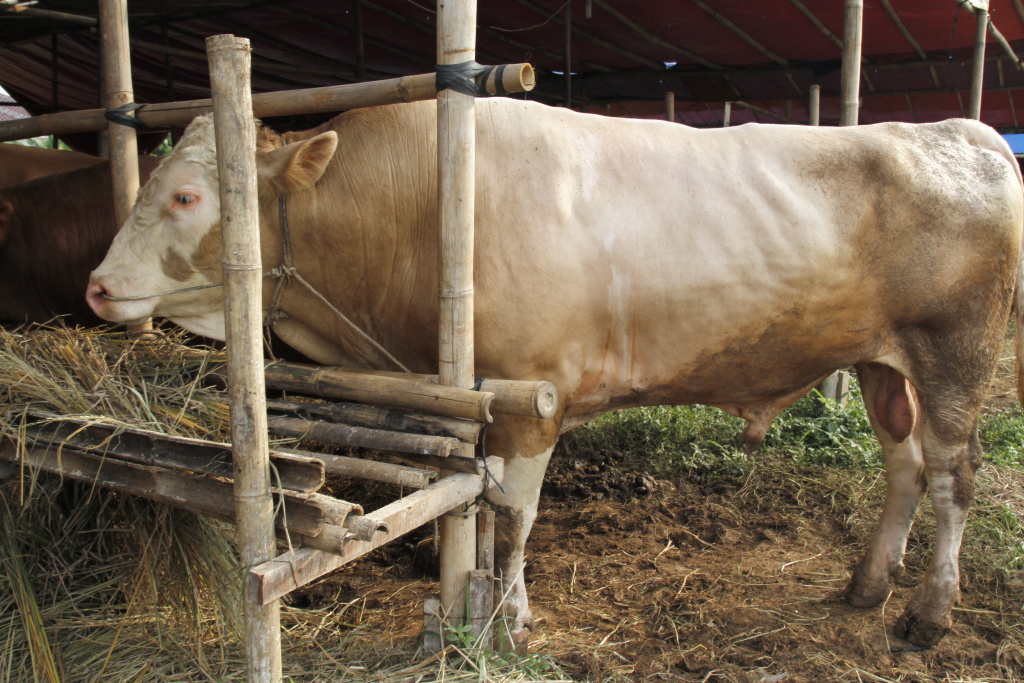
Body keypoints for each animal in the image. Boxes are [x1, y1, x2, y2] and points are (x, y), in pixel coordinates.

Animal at [86, 100, 1024, 647]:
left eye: (185, 198)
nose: (96, 285)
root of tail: (960, 131)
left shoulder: (531, 397)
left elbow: (513, 514)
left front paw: (508, 621)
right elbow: (482, 508)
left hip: (955, 352)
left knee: (953, 473)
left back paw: (927, 612)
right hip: (882, 364)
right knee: (904, 466)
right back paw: (867, 585)